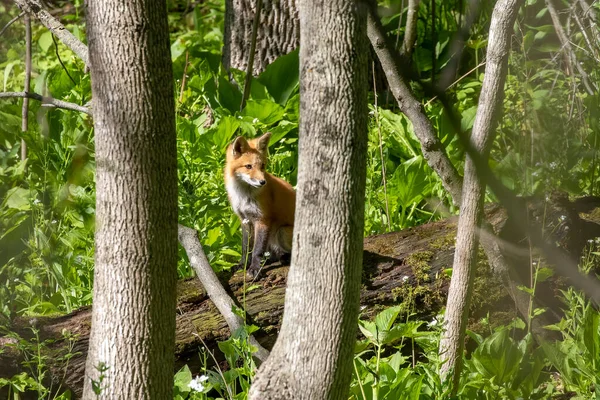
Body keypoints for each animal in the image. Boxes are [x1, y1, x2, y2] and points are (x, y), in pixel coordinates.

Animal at [223, 133, 296, 276]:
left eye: (262, 166)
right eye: (248, 166)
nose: (263, 182)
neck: (244, 196)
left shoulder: (262, 219)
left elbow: (257, 249)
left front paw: (255, 268)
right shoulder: (244, 219)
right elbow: (246, 248)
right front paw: (242, 265)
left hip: (282, 232)